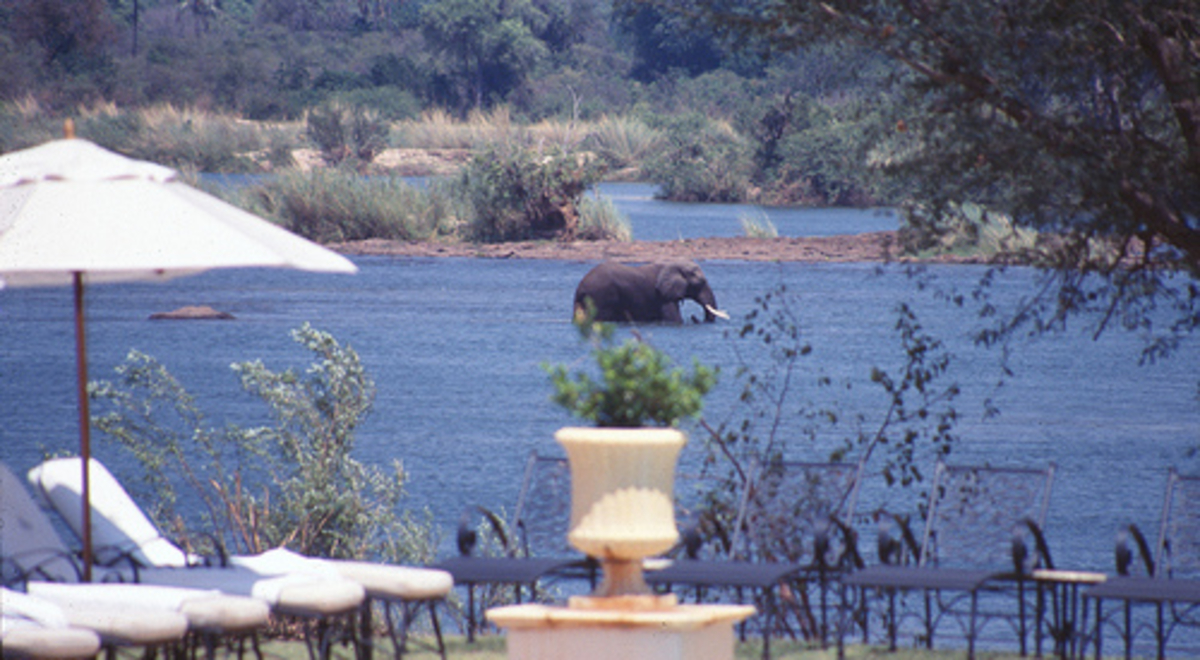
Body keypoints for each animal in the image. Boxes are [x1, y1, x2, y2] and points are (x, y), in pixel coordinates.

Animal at [572, 260, 728, 324]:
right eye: (700, 283)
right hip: (601, 297)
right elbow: (674, 319)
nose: (694, 317)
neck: (673, 264)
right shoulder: (663, 297)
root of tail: (581, 287)